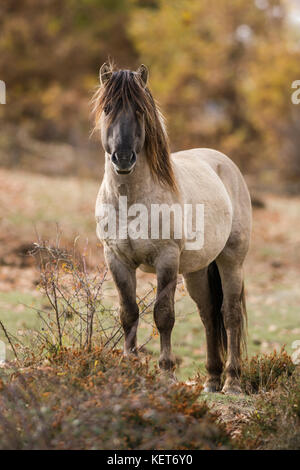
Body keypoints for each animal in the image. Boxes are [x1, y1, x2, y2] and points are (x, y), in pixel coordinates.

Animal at [93, 62, 251, 392]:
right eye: (108, 108)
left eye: (140, 110)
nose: (123, 158)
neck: (132, 201)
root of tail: (224, 164)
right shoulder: (116, 259)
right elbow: (129, 314)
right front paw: (130, 370)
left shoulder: (166, 259)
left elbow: (163, 315)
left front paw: (166, 374)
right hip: (196, 271)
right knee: (208, 315)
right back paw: (212, 379)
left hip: (231, 261)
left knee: (230, 315)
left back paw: (232, 381)